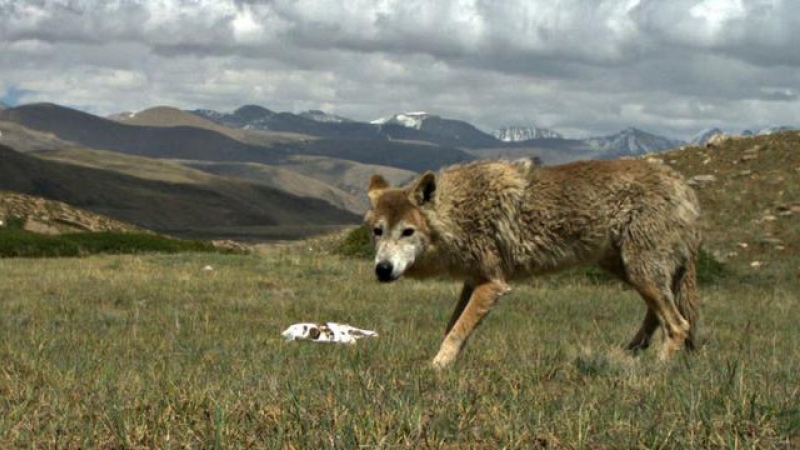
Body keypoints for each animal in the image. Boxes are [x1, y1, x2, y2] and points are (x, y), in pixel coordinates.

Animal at [364, 158, 700, 370]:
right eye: (377, 231)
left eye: (407, 231)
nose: (382, 269)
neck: (459, 214)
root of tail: (684, 187)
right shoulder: (473, 281)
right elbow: (452, 328)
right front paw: (445, 362)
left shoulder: (493, 285)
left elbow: (457, 330)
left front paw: (436, 367)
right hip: (633, 273)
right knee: (658, 317)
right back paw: (628, 355)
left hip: (641, 273)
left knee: (678, 325)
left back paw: (654, 370)